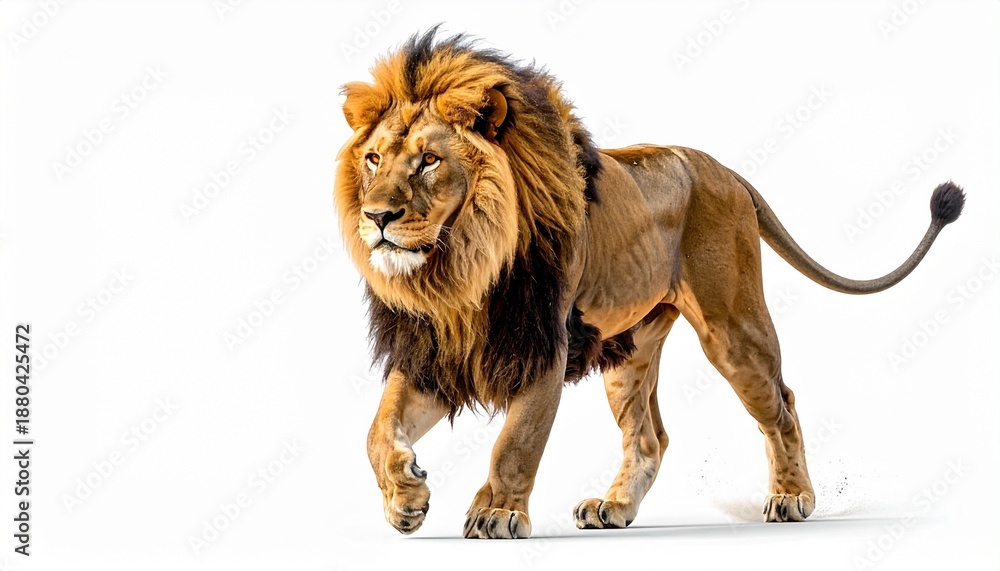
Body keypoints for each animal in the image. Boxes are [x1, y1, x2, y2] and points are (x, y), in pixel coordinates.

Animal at [333, 29, 965, 539]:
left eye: (428, 161)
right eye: (373, 159)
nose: (377, 216)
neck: (458, 269)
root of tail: (728, 171)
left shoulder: (543, 343)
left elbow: (516, 441)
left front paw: (498, 513)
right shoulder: (434, 351)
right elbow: (376, 431)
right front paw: (406, 499)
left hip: (733, 330)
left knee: (781, 404)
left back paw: (792, 498)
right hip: (630, 352)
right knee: (648, 437)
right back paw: (612, 508)